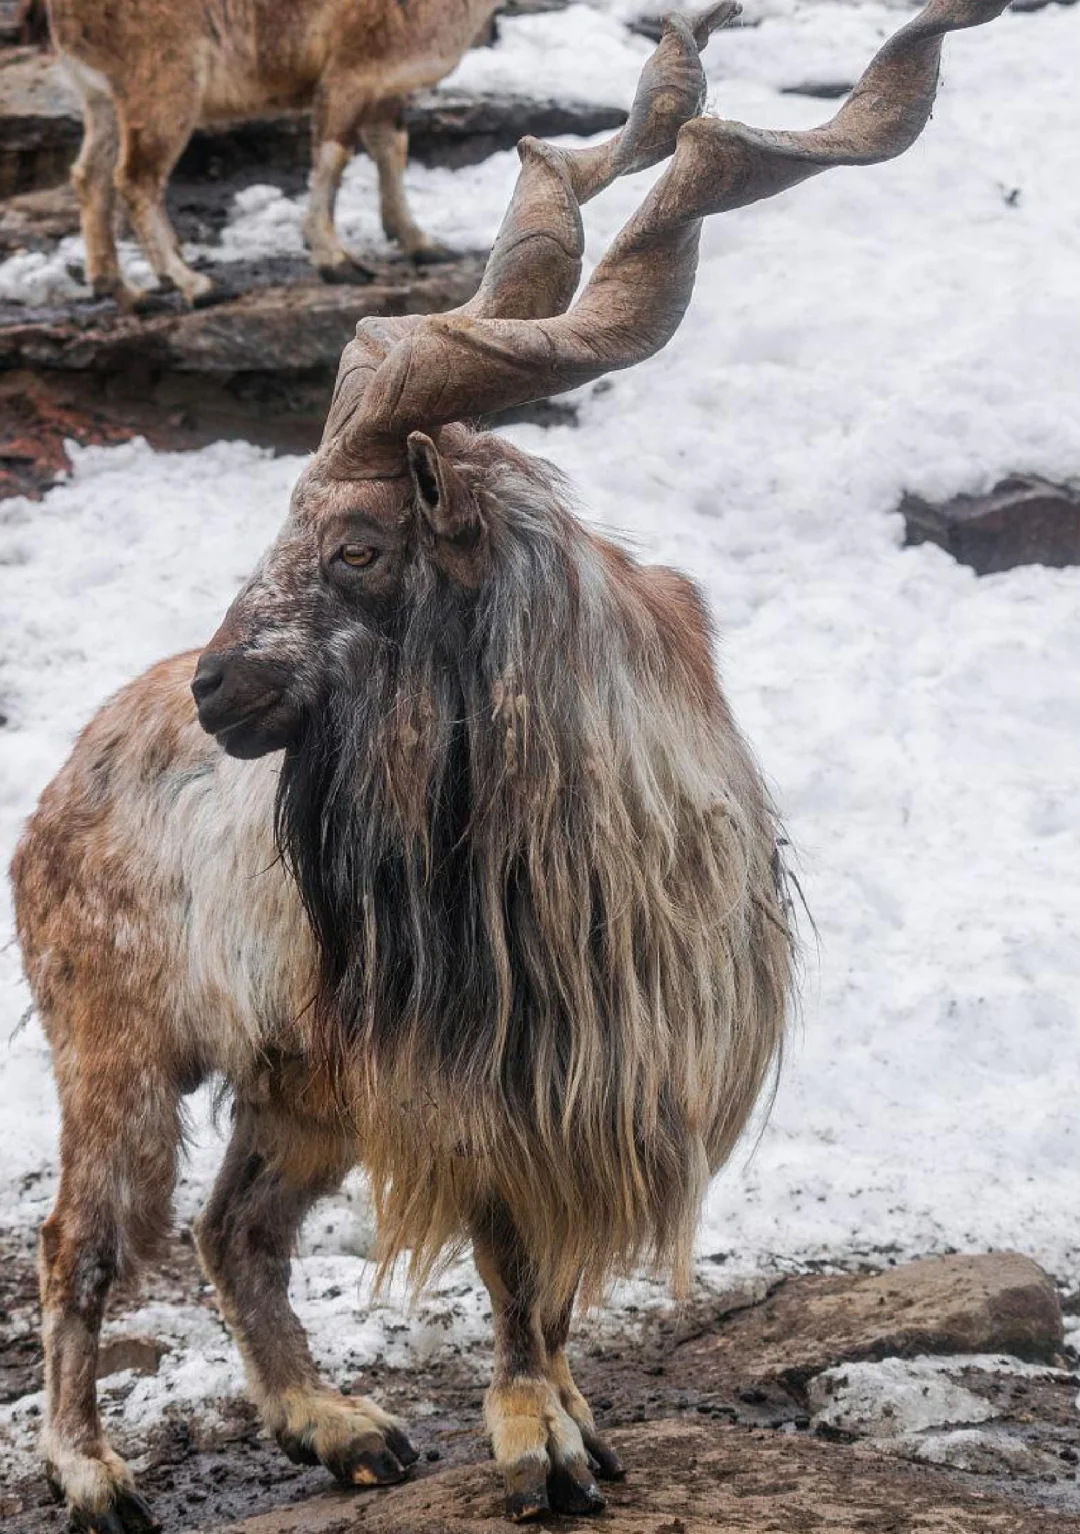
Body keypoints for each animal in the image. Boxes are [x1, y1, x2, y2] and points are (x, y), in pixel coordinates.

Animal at [12, 2, 1012, 1521]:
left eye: (359, 543)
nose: (218, 687)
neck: (594, 830)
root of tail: (63, 786)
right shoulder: (478, 1079)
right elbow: (511, 1256)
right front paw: (541, 1443)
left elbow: (546, 1283)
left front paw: (575, 1417)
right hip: (118, 1044)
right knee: (83, 1238)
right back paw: (93, 1471)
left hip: (297, 1080)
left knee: (236, 1225)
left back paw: (336, 1424)